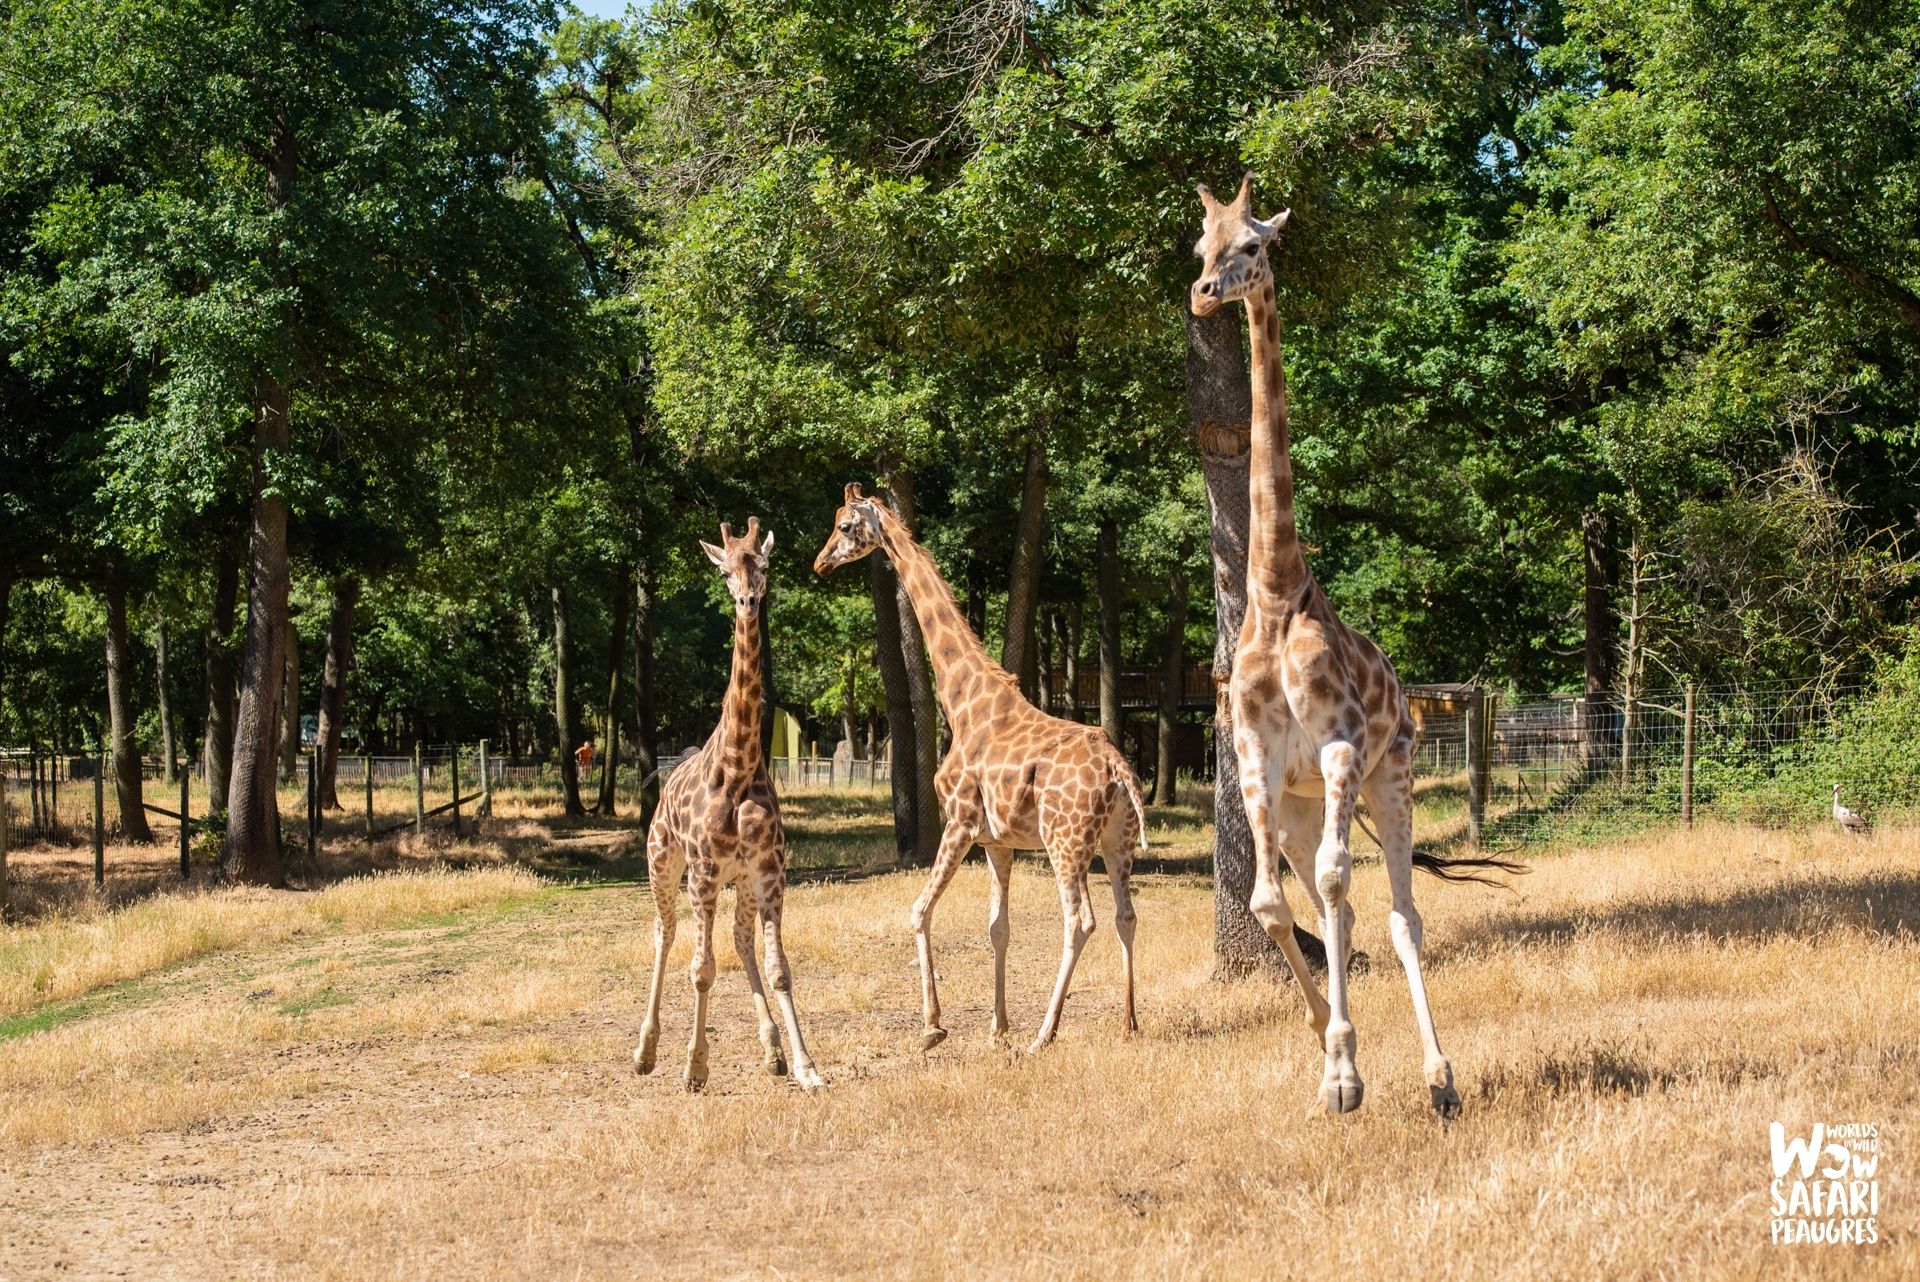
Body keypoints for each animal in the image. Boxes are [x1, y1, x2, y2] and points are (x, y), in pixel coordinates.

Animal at [633, 518, 821, 1090]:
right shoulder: (704, 873)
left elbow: (778, 968)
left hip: (738, 883)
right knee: (664, 934)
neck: (739, 768)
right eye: (724, 569)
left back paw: (772, 1051)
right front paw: (694, 1068)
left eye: (763, 564)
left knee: (738, 942)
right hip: (662, 864)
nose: (747, 599)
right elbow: (701, 970)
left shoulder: (768, 872)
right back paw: (644, 1052)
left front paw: (806, 1066)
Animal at [806, 485, 1136, 1059]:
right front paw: (997, 1027)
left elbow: (918, 910)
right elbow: (998, 927)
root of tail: (1118, 768)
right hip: (1117, 841)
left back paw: (1045, 1034)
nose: (820, 562)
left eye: (846, 525)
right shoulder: (997, 842)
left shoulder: (959, 822)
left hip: (1066, 841)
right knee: (1126, 917)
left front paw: (933, 1025)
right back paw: (1129, 1023)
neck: (963, 703)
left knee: (1080, 921)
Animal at [1182, 175, 1512, 1113]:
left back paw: (1440, 1078)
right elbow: (1268, 904)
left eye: (1253, 245)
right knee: (1337, 899)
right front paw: (1327, 1053)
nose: (1205, 294)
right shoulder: (1258, 759)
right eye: (1201, 245)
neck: (1270, 592)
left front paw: (1347, 1073)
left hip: (1389, 777)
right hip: (1297, 808)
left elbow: (1336, 883)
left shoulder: (1335, 749)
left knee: (1398, 911)